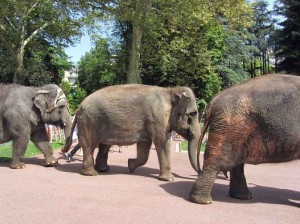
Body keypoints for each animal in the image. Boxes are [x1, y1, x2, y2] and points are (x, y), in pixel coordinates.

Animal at [61, 84, 200, 180]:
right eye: (193, 114)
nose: (195, 174)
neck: (170, 91)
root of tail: (78, 108)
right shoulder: (157, 118)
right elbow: (162, 143)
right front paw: (169, 179)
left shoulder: (150, 122)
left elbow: (145, 145)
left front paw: (130, 165)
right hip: (89, 122)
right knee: (90, 146)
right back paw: (91, 174)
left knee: (104, 146)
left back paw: (103, 169)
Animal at [190, 74, 300, 204]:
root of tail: (214, 100)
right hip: (229, 126)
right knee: (216, 161)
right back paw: (203, 201)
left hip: (236, 129)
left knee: (236, 163)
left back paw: (242, 197)